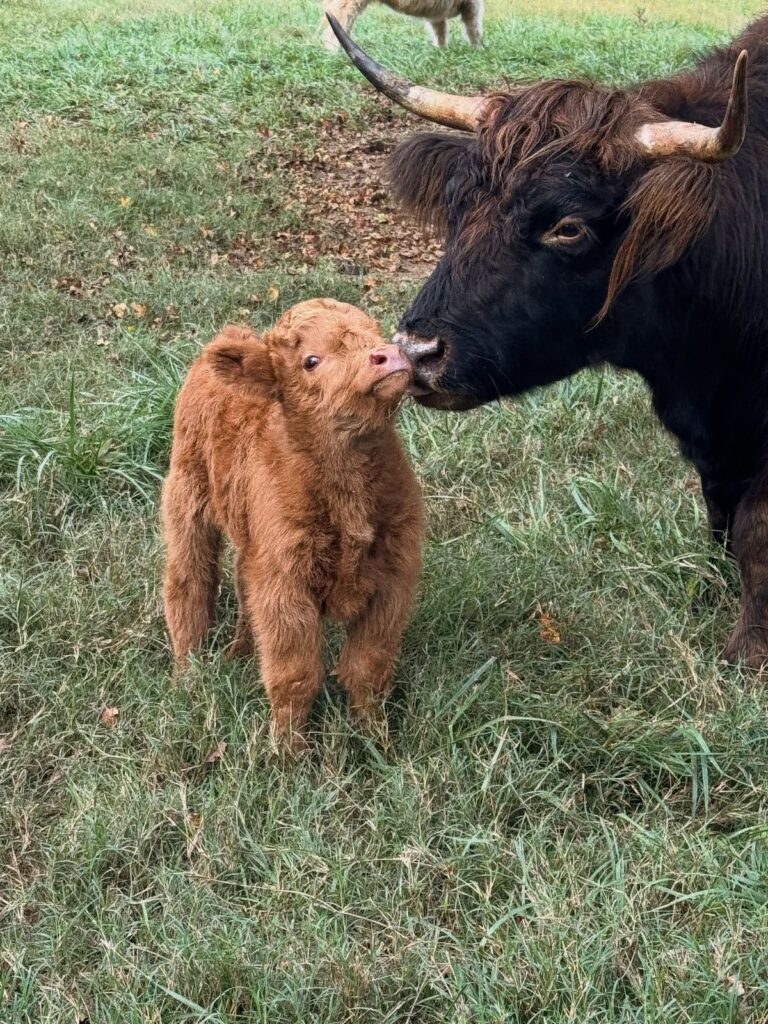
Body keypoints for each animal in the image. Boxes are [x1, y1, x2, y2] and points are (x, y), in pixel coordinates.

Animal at [322, 0, 483, 51]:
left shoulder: (437, 12)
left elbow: (440, 31)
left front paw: (440, 49)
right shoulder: (472, 4)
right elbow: (473, 29)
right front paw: (478, 50)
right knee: (337, 21)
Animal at [327, 12, 768, 668]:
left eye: (569, 227)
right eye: (457, 203)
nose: (418, 354)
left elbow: (754, 527)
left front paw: (749, 648)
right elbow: (722, 511)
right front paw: (710, 589)